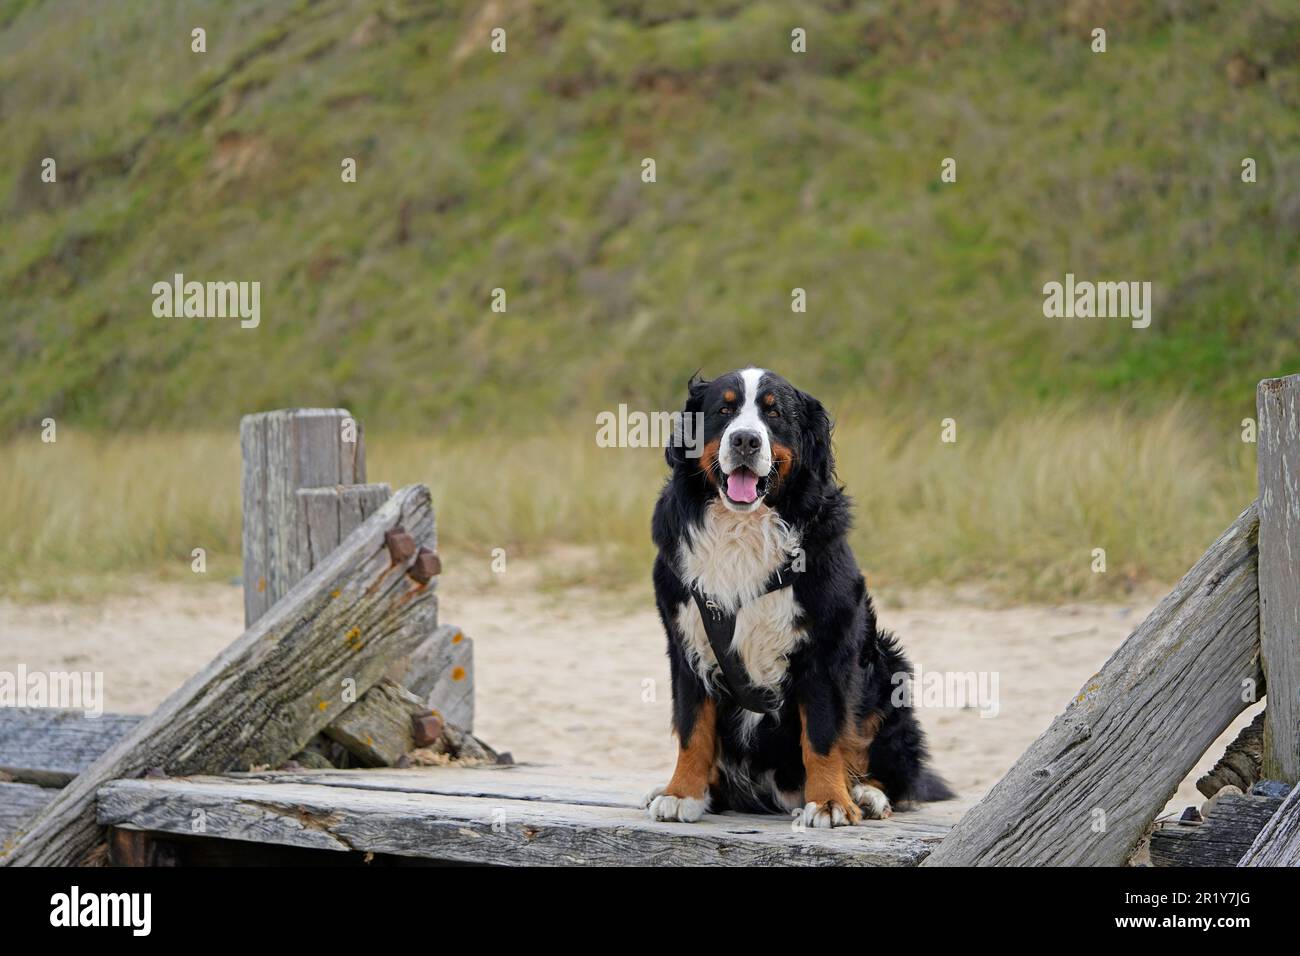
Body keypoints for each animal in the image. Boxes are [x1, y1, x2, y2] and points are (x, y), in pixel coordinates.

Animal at [642, 369, 956, 827]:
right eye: (724, 409)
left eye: (774, 413)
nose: (746, 440)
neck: (743, 531)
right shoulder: (687, 642)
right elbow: (692, 728)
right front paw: (682, 793)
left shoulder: (825, 647)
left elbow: (823, 735)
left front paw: (829, 801)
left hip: (886, 673)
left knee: (889, 769)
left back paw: (865, 794)